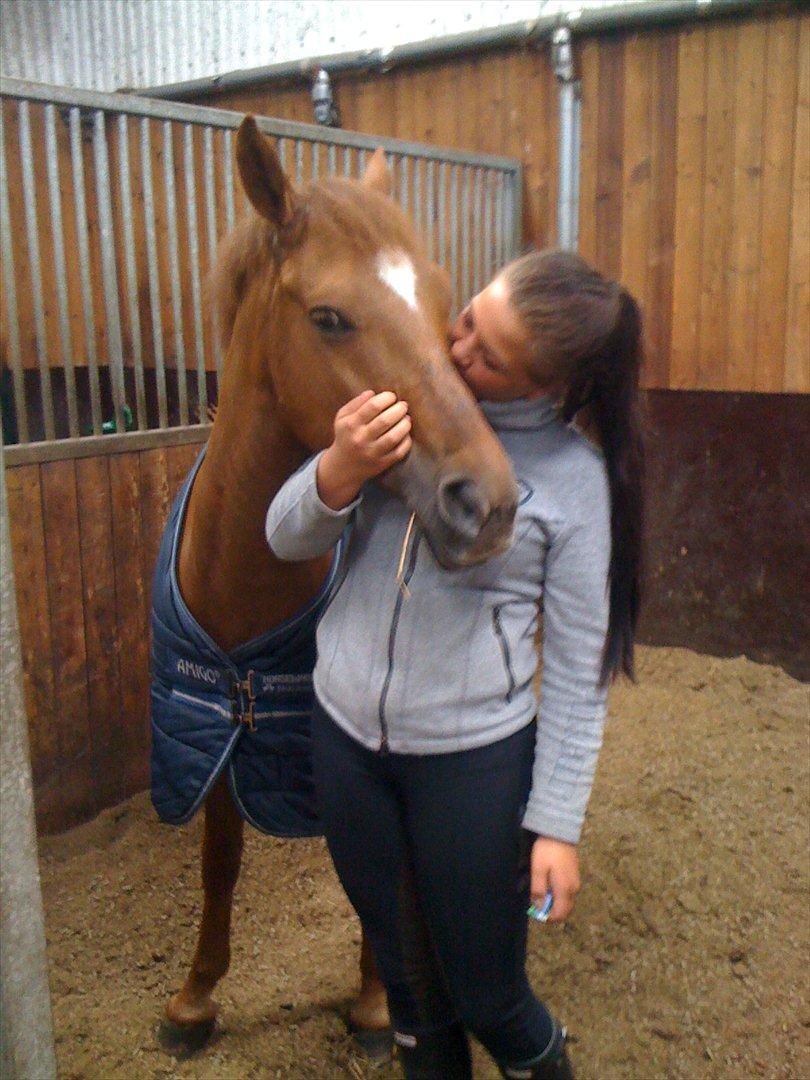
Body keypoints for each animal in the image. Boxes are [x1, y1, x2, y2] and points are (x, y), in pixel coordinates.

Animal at [155, 115, 519, 1055]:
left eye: (441, 304)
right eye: (328, 317)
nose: (488, 501)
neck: (247, 574)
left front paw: (376, 999)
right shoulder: (218, 721)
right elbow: (220, 858)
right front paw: (194, 998)